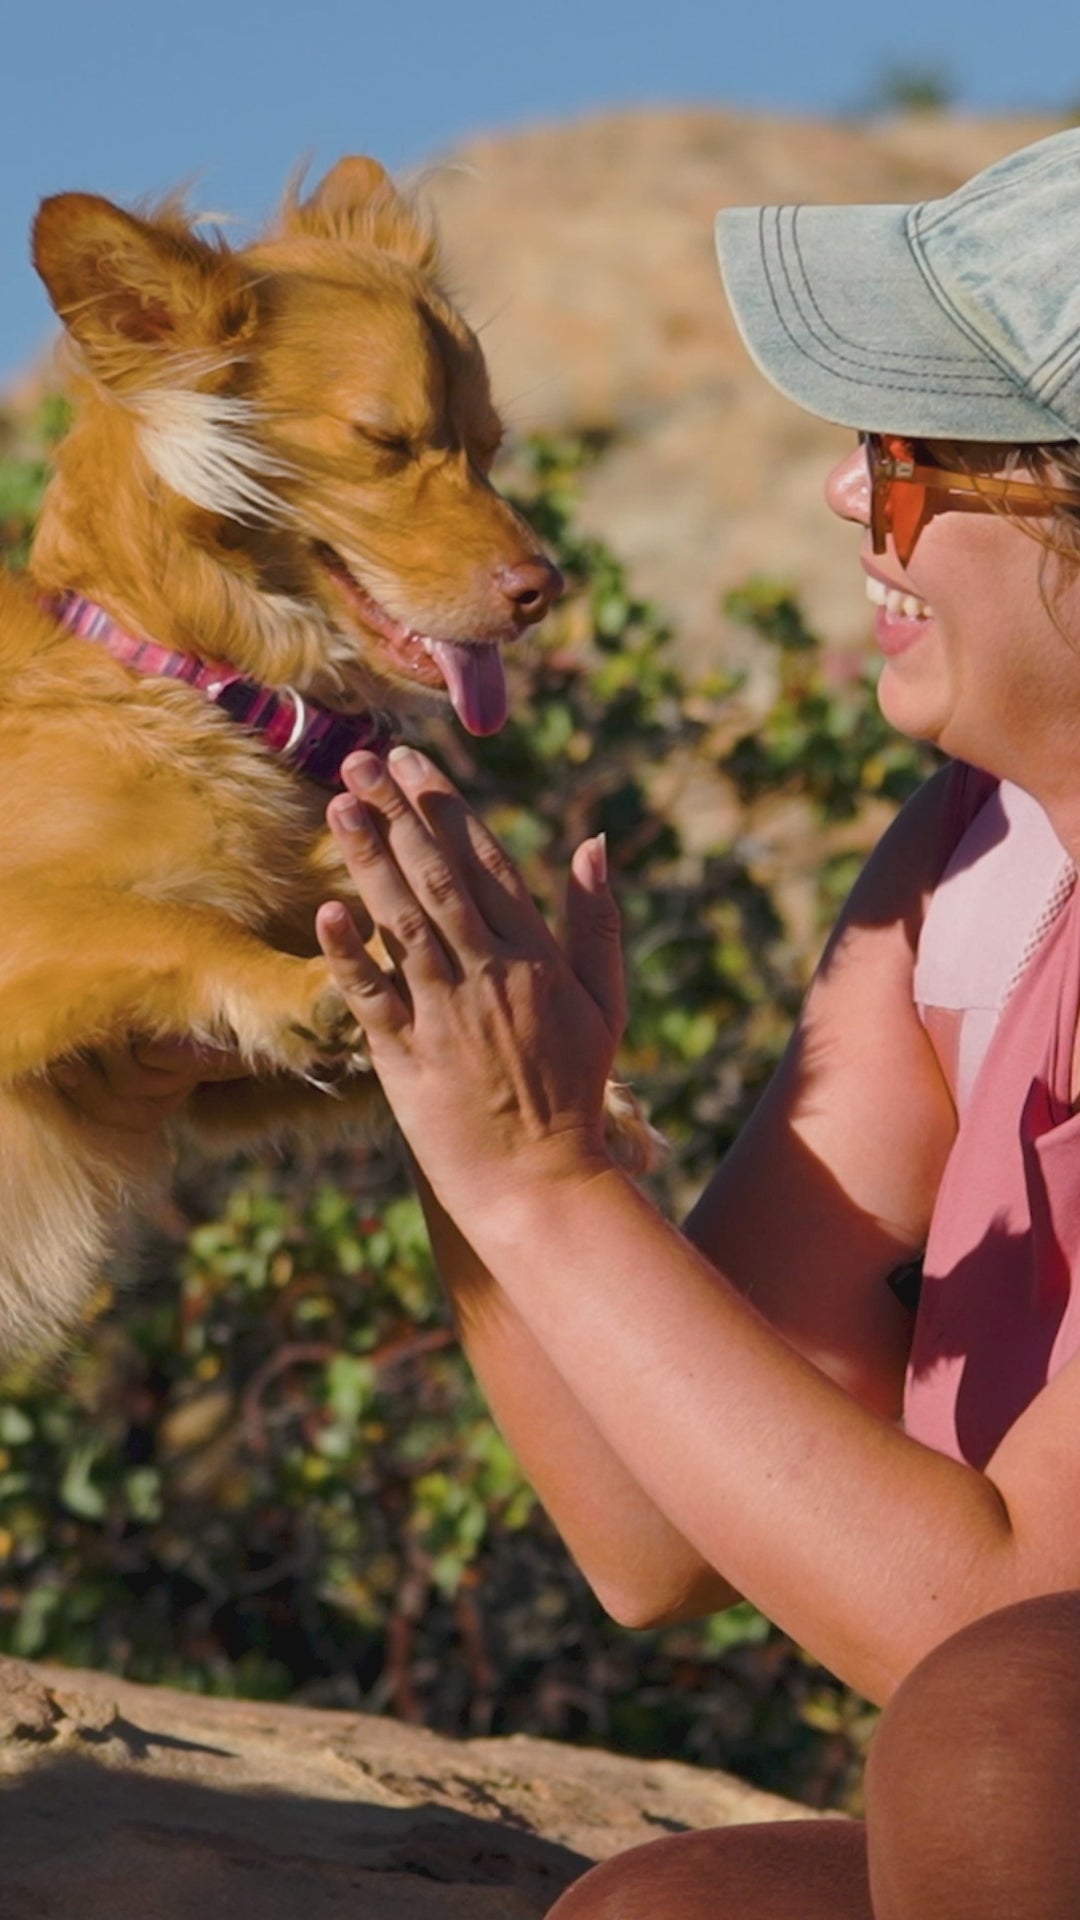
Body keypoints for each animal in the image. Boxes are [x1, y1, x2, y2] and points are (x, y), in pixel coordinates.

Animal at [0, 165, 657, 1359]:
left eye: (490, 445)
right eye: (384, 441)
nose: (546, 588)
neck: (193, 684)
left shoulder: (197, 1085)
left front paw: (591, 1094)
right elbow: (161, 922)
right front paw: (284, 984)